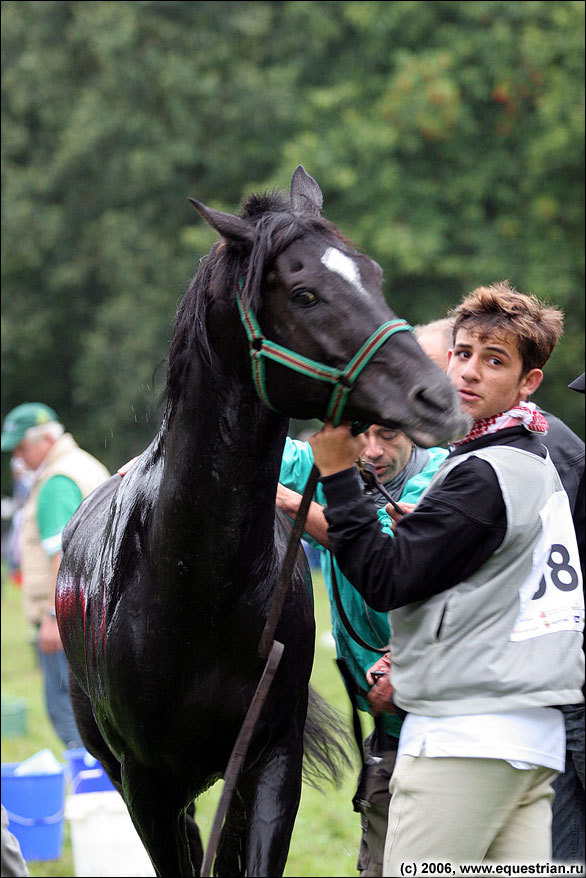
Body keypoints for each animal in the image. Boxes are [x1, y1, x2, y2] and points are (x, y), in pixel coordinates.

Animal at [54, 168, 466, 876]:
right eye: (304, 293)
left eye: (374, 275)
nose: (436, 398)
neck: (192, 587)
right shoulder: (148, 788)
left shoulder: (269, 761)